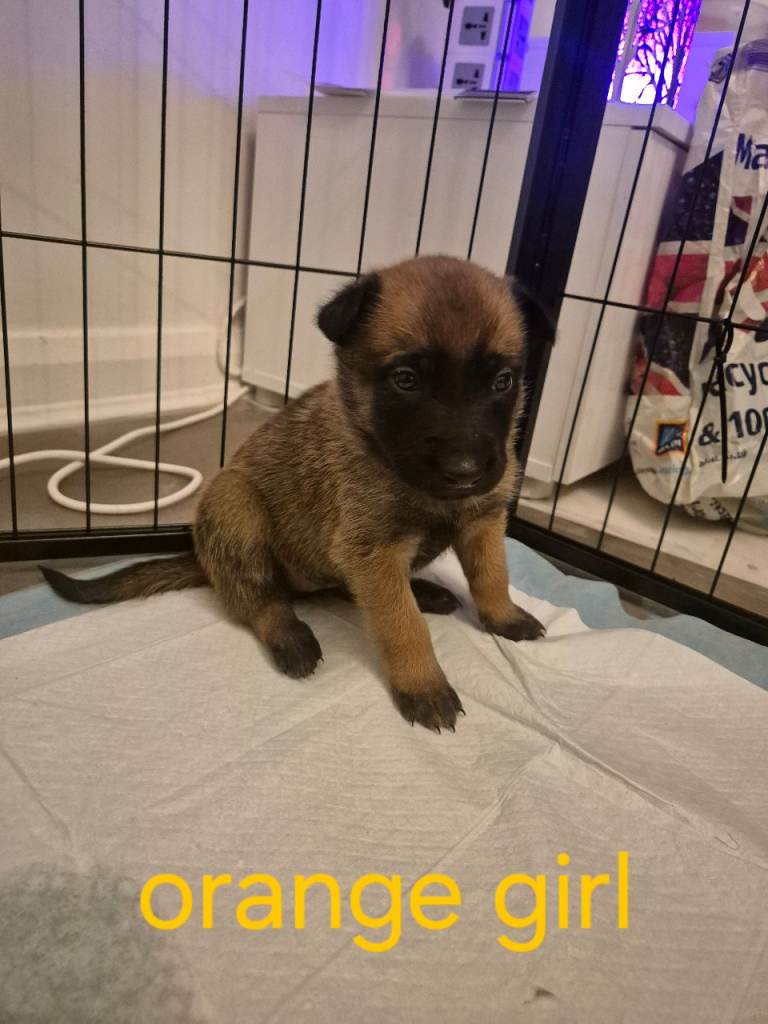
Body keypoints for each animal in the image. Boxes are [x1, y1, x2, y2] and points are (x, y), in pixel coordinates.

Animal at [42, 255, 554, 732]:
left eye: (503, 381)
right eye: (405, 379)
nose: (464, 472)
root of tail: (203, 561)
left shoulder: (482, 520)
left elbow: (491, 575)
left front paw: (503, 616)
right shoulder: (373, 553)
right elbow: (401, 624)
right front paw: (423, 682)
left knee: (342, 591)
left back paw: (423, 590)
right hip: (237, 507)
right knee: (260, 600)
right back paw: (291, 636)